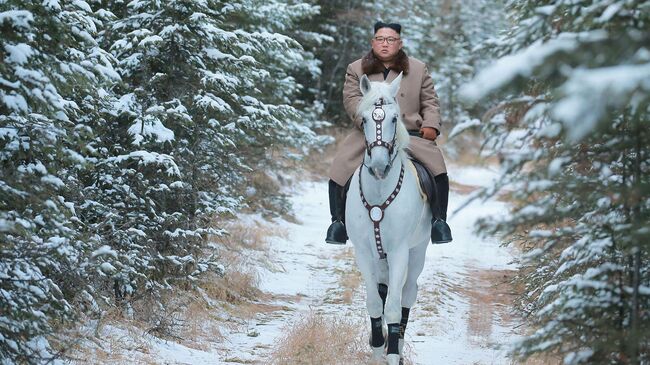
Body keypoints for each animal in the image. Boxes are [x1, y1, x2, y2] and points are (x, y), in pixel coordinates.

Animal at [344, 72, 430, 362]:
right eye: (364, 120)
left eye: (394, 118)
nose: (380, 166)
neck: (380, 191)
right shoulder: (363, 252)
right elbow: (374, 302)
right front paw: (377, 348)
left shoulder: (399, 251)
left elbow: (393, 306)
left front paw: (391, 355)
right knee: (382, 292)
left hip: (417, 252)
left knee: (406, 295)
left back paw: (399, 346)